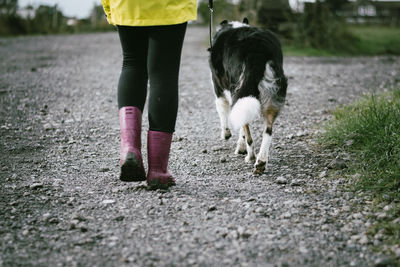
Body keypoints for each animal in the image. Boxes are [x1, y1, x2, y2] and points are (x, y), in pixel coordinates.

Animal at [209, 17, 288, 175]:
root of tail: (257, 50)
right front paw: (241, 145)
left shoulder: (219, 91)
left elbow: (224, 115)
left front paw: (226, 135)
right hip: (272, 91)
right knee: (268, 130)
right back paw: (261, 161)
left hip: (238, 90)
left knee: (249, 133)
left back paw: (251, 157)